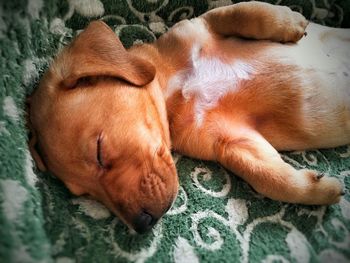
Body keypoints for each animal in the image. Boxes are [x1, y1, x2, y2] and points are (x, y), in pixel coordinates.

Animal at [28, 1, 350, 233]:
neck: (176, 88)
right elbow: (268, 176)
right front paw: (319, 189)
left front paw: (289, 21)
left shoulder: (200, 25)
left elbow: (244, 11)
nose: (143, 225)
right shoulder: (232, 140)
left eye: (99, 151)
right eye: (85, 194)